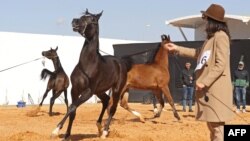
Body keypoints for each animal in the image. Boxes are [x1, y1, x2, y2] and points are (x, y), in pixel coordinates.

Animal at [50, 9, 129, 140]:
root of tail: (120, 62)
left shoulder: (88, 92)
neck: (88, 64)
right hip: (99, 91)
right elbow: (73, 111)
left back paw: (105, 131)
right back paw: (99, 126)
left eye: (92, 19)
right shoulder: (75, 90)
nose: (74, 21)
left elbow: (72, 107)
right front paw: (66, 135)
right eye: (82, 16)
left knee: (113, 108)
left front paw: (56, 130)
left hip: (116, 89)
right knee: (106, 100)